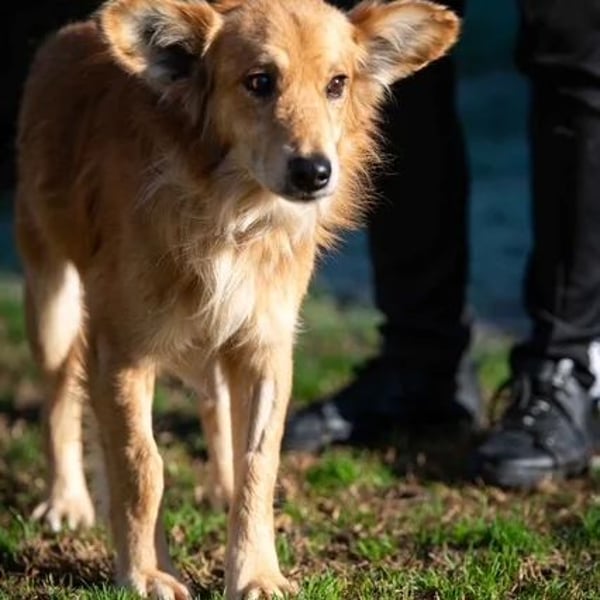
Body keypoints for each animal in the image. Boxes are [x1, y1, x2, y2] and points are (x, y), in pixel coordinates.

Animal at [15, 0, 458, 597]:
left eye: (337, 84)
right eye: (259, 81)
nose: (315, 172)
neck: (233, 213)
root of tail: (73, 30)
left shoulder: (263, 347)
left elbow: (258, 463)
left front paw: (256, 571)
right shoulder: (124, 352)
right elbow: (140, 465)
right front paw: (145, 571)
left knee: (214, 403)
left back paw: (219, 487)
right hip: (52, 295)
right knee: (59, 394)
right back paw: (66, 500)